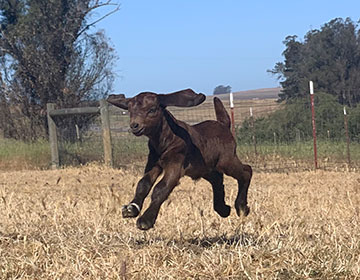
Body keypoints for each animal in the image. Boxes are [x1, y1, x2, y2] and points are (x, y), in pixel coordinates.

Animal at [108, 89, 252, 230]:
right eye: (129, 111)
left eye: (152, 110)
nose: (134, 126)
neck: (165, 139)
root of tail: (224, 125)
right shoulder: (154, 162)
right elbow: (143, 184)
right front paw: (132, 208)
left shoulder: (176, 163)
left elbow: (161, 188)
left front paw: (146, 220)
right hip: (205, 168)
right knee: (217, 180)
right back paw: (223, 209)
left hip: (226, 160)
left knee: (246, 171)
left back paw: (241, 207)